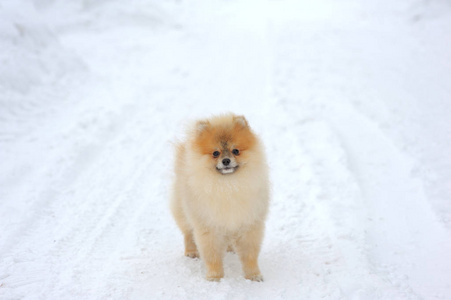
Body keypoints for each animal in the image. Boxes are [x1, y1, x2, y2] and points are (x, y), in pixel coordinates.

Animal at [170, 113, 268, 282]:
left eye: (236, 151)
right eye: (215, 153)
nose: (226, 160)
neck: (228, 186)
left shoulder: (249, 224)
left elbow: (250, 255)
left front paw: (253, 275)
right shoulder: (209, 227)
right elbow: (212, 255)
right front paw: (215, 277)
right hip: (182, 209)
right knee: (188, 232)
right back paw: (191, 251)